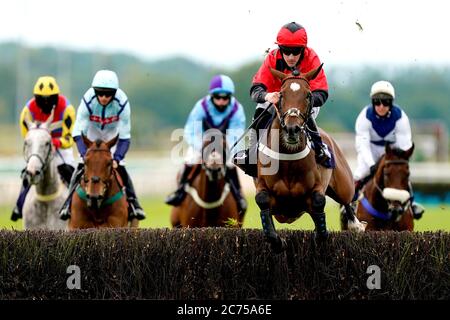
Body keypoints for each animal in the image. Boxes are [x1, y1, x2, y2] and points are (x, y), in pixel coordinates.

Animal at [253, 64, 366, 250]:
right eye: (281, 94)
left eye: (308, 95)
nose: (292, 129)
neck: (288, 158)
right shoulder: (263, 185)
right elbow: (262, 200)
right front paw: (278, 242)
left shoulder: (315, 189)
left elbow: (319, 201)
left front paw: (319, 236)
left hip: (344, 186)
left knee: (347, 200)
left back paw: (356, 225)